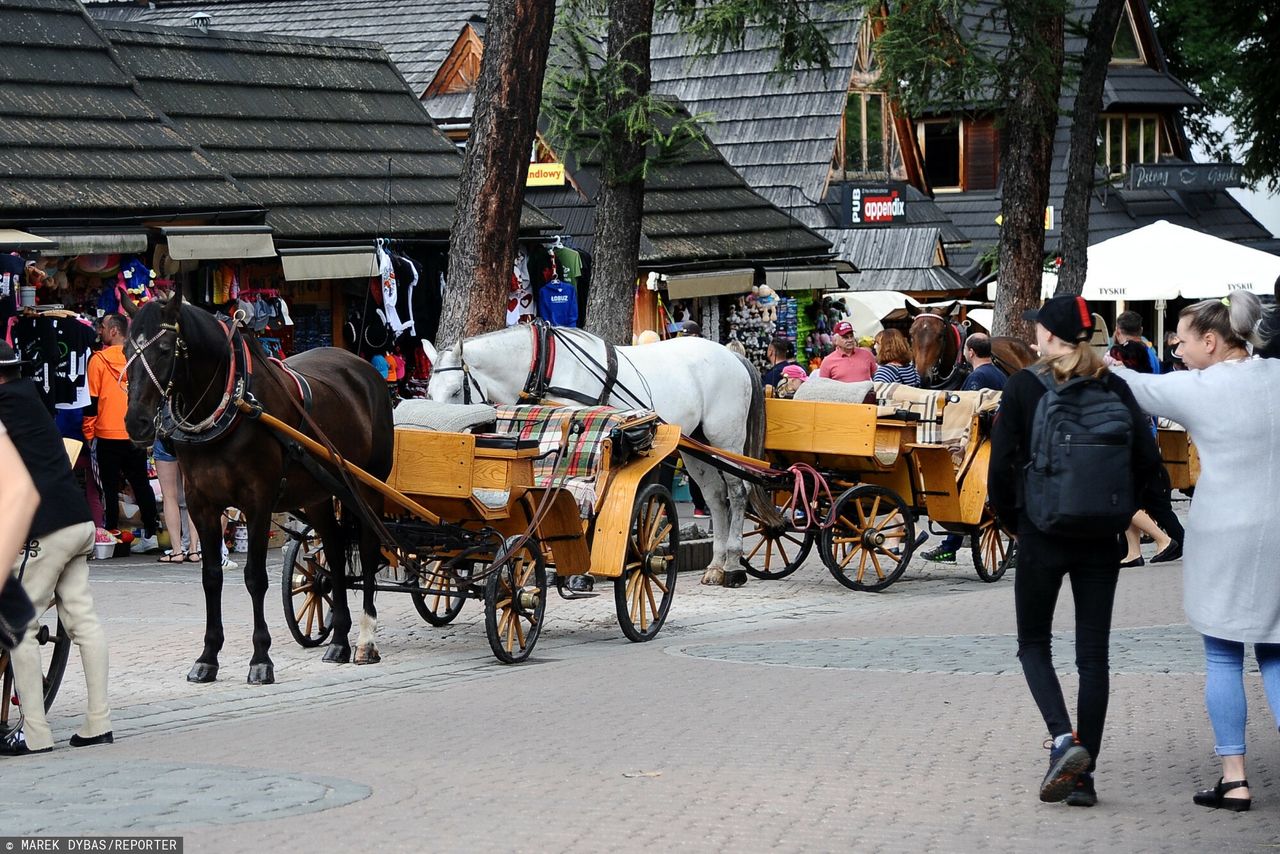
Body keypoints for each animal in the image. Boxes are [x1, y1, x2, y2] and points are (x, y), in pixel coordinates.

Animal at [126, 290, 394, 686]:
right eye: (126, 349)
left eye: (164, 349)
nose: (136, 422)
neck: (232, 403)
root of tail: (363, 369)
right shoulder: (202, 504)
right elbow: (211, 577)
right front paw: (207, 657)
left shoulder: (258, 502)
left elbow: (255, 578)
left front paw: (261, 659)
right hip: (317, 493)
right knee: (333, 549)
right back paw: (339, 641)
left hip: (367, 488)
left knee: (370, 546)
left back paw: (365, 639)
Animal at [424, 327, 762, 588]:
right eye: (428, 393)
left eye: (455, 391)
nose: (441, 434)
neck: (548, 365)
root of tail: (731, 355)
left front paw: (578, 571)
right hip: (697, 445)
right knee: (716, 497)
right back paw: (716, 565)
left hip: (726, 439)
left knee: (737, 491)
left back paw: (733, 565)